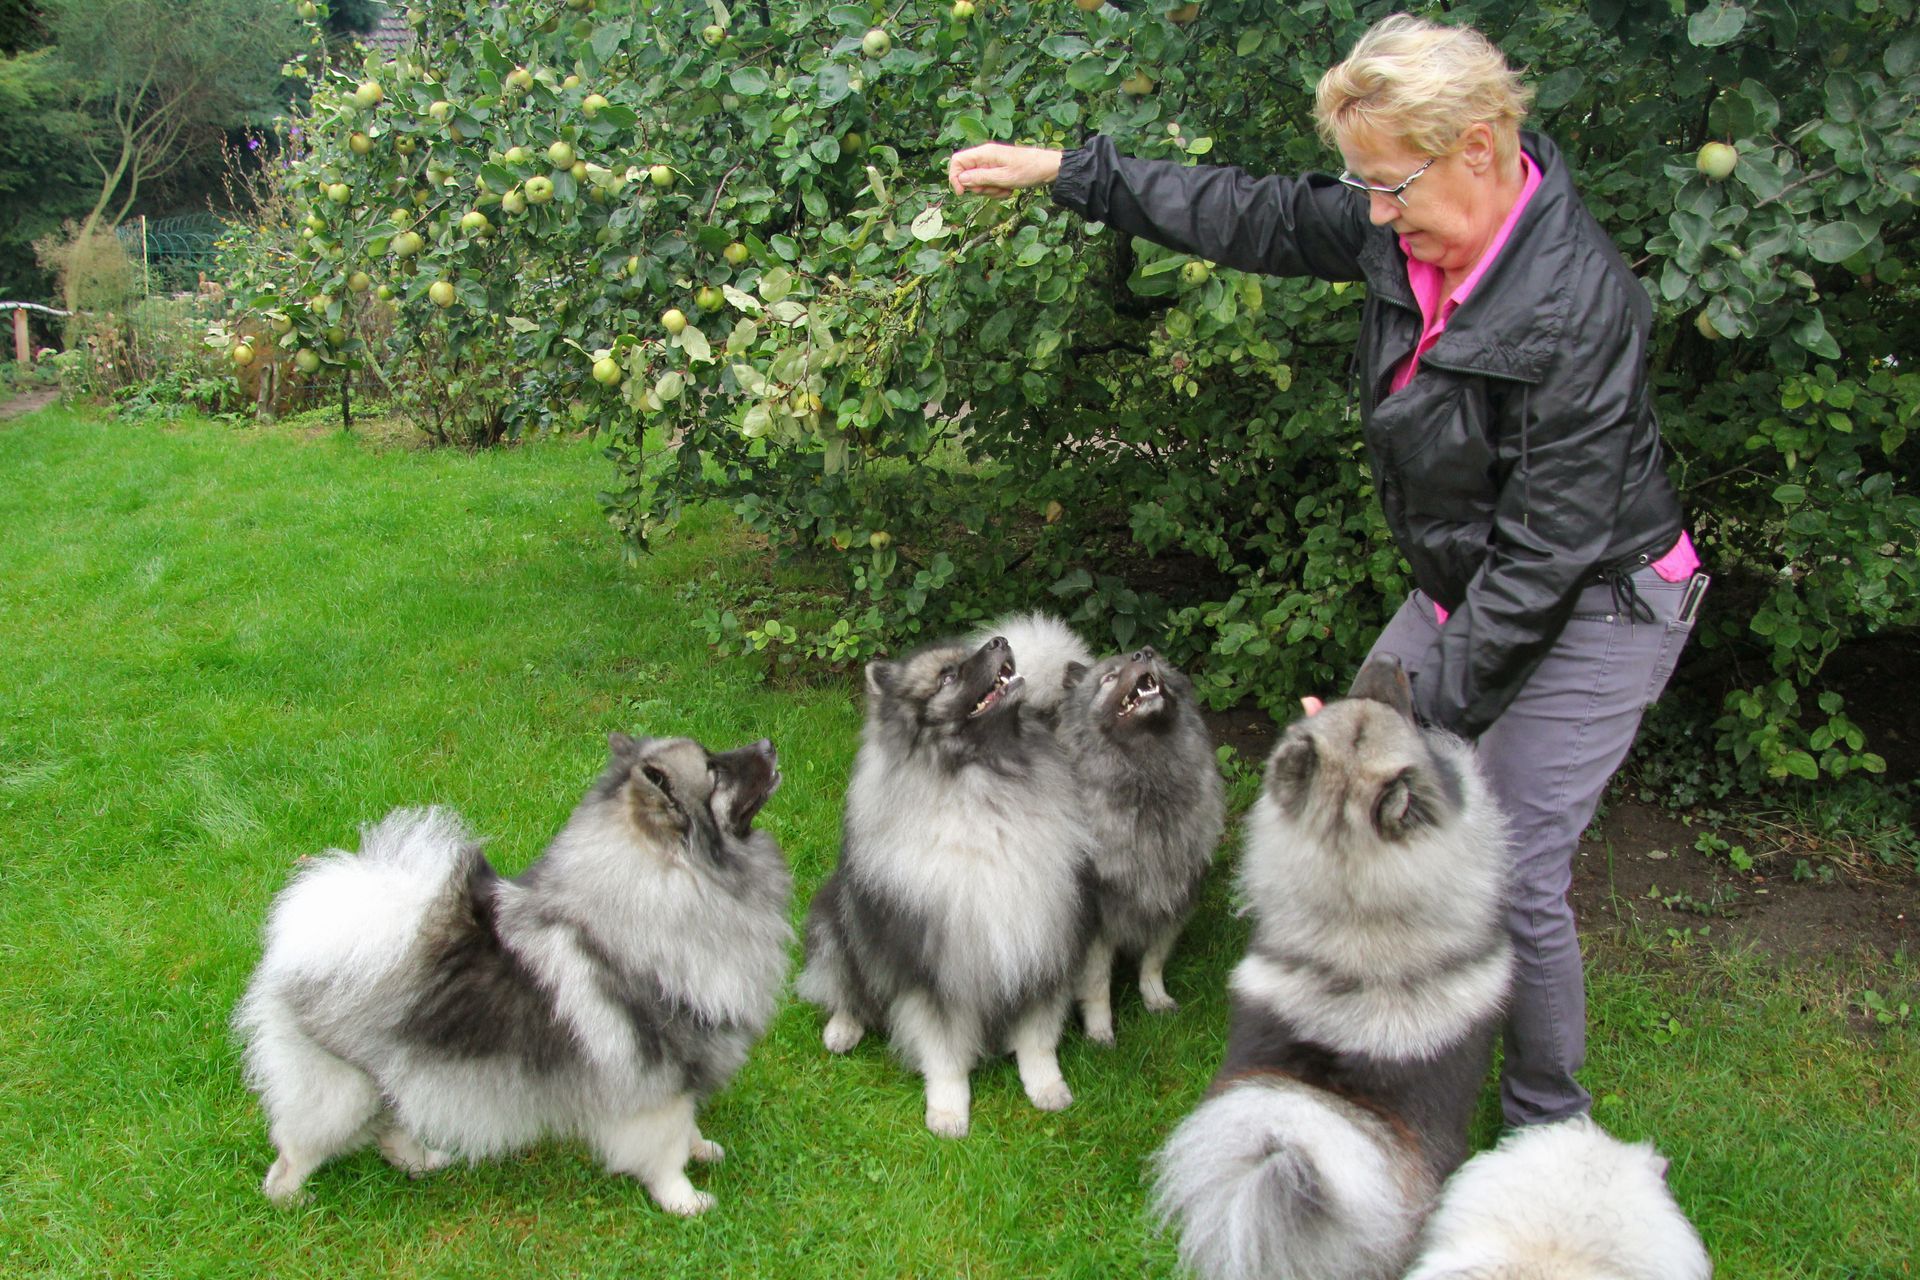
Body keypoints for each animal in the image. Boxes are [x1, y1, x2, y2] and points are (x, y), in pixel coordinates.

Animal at [233, 733, 792, 1216]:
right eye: (714, 769)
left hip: (397, 1075)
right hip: (345, 1091)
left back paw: (424, 1163)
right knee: (294, 1151)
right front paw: (684, 1200)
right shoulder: (656, 1078)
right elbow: (666, 1147)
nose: (769, 744)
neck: (666, 893)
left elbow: (689, 1126)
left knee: (392, 1129)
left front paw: (703, 1150)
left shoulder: (682, 1069)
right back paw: (292, 1200)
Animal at [797, 633, 1095, 1137]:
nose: (1000, 639)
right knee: (847, 988)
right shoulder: (932, 975)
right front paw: (949, 1112)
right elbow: (945, 1054)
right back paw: (843, 1029)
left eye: (969, 652)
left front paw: (1046, 1088)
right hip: (834, 924)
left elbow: (1037, 1039)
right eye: (947, 676)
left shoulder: (1042, 945)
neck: (985, 781)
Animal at [1058, 642, 1224, 1044]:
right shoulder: (1097, 922)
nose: (1143, 652)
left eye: (1155, 656)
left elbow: (1154, 960)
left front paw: (1155, 998)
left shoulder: (1170, 901)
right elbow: (1097, 985)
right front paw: (1099, 1032)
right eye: (1109, 677)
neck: (1148, 776)